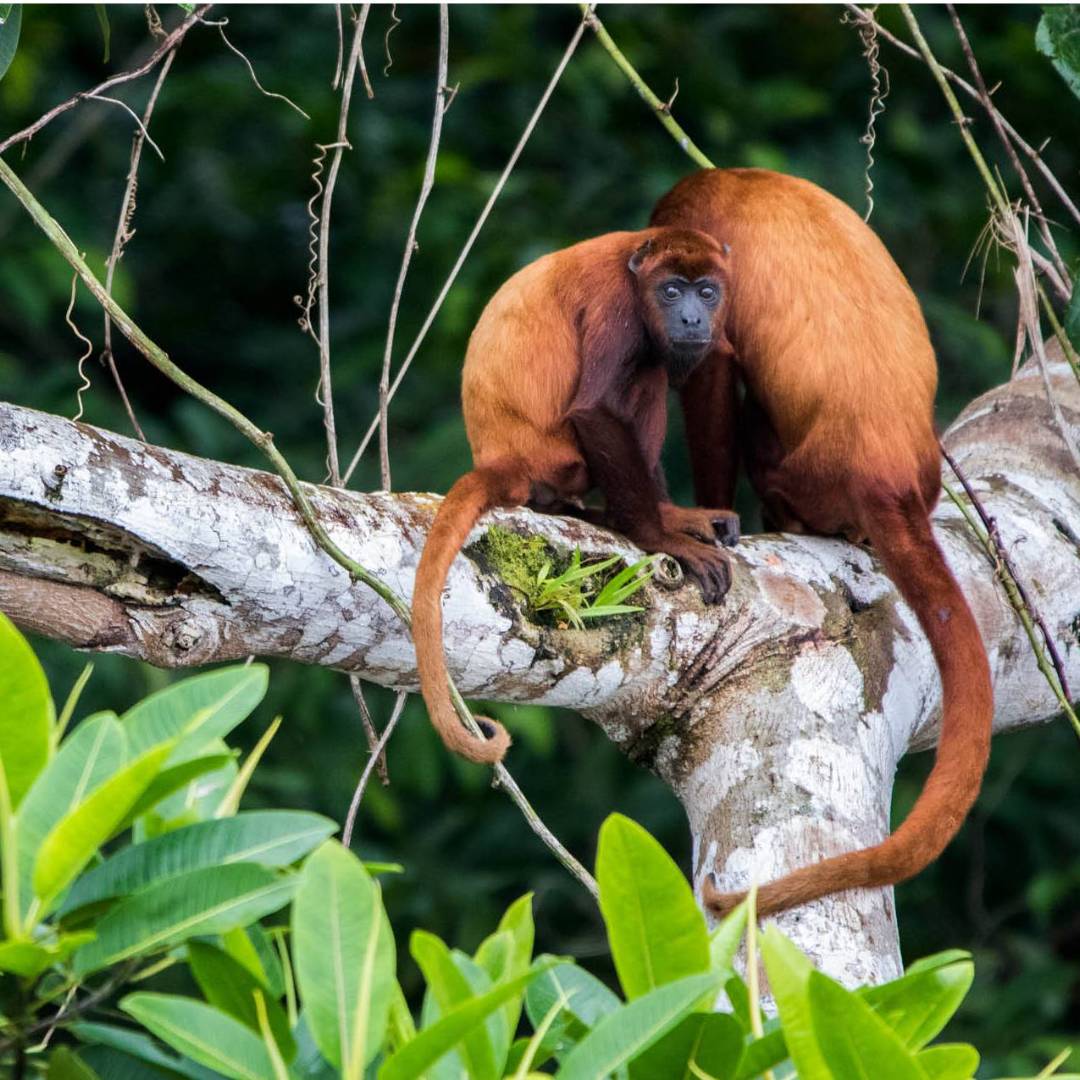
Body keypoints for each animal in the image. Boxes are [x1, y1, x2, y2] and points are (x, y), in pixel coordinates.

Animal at [412, 228, 742, 764]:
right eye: (672, 291)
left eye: (707, 292)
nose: (693, 318)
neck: (636, 265)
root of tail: (501, 460)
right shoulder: (616, 305)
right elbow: (598, 408)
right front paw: (658, 536)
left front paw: (675, 519)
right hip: (559, 462)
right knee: (647, 373)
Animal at [650, 167, 993, 918]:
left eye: (690, 294)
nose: (680, 315)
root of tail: (891, 481)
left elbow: (713, 366)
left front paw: (711, 517)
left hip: (804, 475)